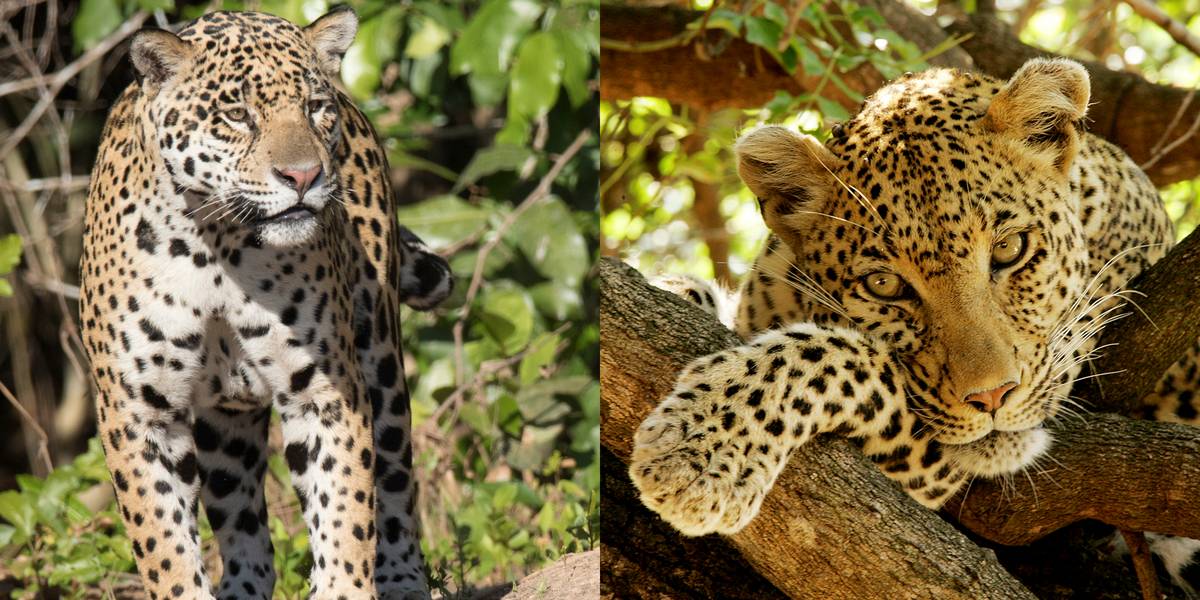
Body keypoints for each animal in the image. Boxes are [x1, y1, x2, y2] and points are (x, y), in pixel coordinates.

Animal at [79, 8, 452, 599]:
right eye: (236, 115)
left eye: (314, 107)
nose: (303, 176)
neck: (213, 245)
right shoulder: (136, 410)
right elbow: (163, 541)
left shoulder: (326, 391)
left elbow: (346, 508)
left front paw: (345, 585)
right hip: (227, 422)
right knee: (240, 514)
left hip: (381, 354)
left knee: (394, 475)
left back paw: (402, 579)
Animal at [629, 58, 1200, 594]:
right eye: (884, 286)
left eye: (1010, 249)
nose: (992, 397)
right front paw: (674, 293)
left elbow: (842, 357)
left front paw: (702, 447)